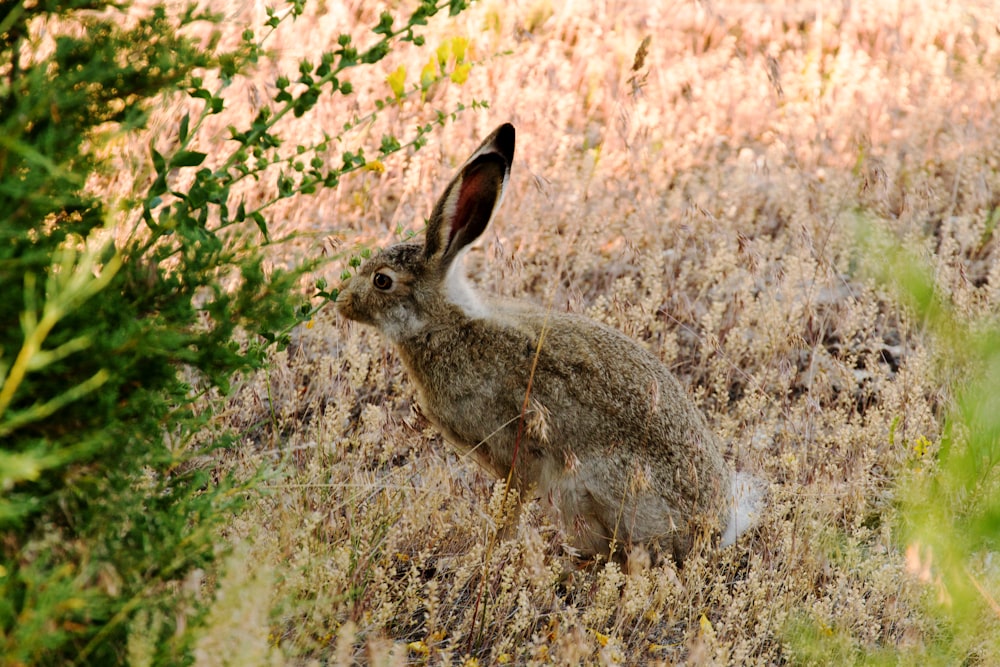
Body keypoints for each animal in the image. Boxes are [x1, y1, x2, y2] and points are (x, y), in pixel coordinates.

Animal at [338, 124, 764, 564]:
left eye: (382, 281)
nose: (342, 302)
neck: (445, 325)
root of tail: (714, 530)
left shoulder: (516, 452)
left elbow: (510, 508)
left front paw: (488, 554)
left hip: (590, 487)